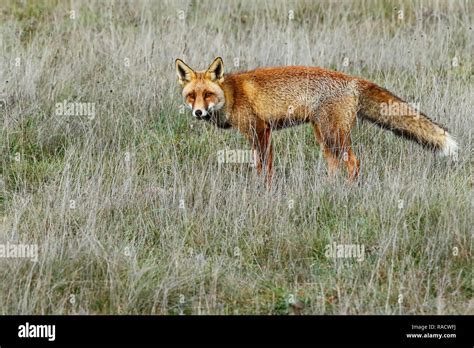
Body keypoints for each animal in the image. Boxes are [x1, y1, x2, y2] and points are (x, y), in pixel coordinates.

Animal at [176, 56, 458, 185]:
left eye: (208, 94)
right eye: (191, 96)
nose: (198, 113)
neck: (233, 94)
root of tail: (353, 79)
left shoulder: (261, 130)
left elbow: (264, 168)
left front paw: (264, 190)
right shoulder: (257, 134)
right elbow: (259, 165)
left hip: (333, 135)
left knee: (353, 162)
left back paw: (349, 191)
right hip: (323, 136)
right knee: (335, 164)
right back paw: (330, 188)